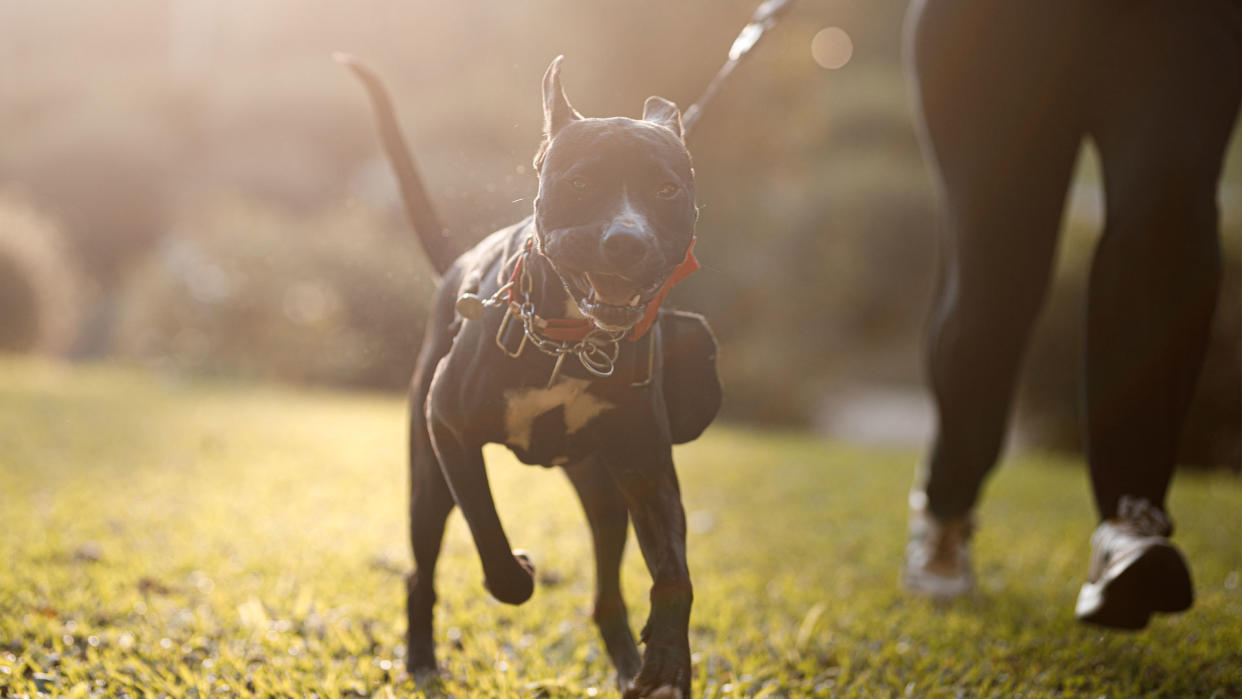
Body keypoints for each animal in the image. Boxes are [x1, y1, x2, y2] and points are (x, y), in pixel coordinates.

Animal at [345, 56, 725, 699]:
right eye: (580, 184)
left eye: (667, 190)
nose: (628, 242)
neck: (571, 343)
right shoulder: (450, 430)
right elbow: (490, 536)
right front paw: (519, 572)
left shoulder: (645, 464)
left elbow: (674, 573)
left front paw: (670, 661)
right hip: (428, 480)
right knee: (421, 571)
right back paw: (421, 661)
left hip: (602, 492)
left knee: (606, 591)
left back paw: (628, 664)